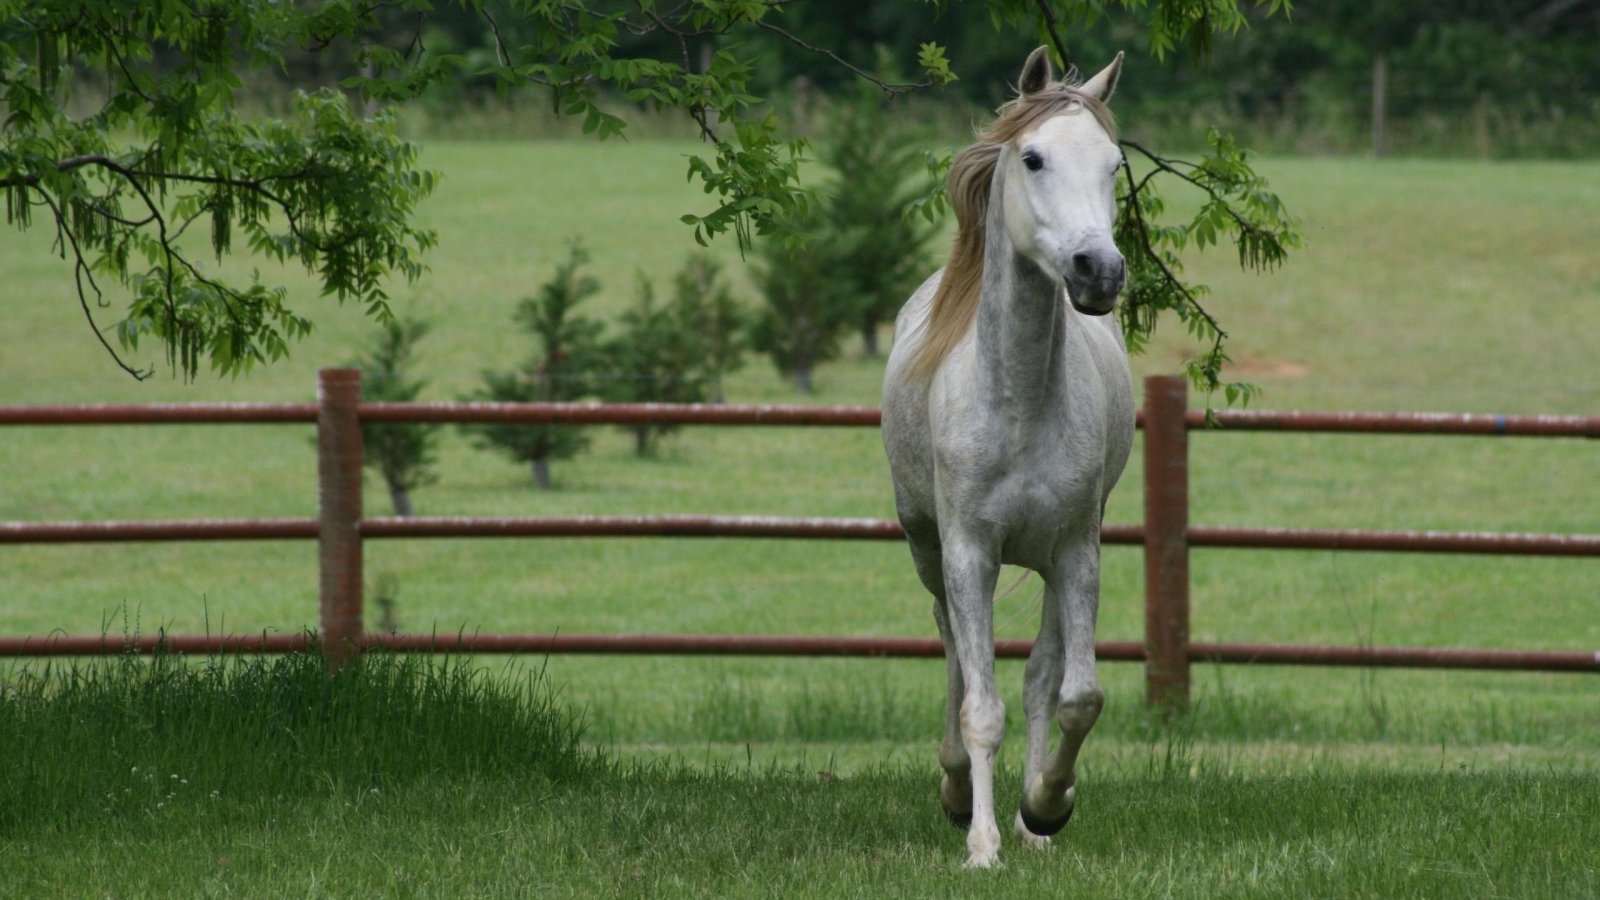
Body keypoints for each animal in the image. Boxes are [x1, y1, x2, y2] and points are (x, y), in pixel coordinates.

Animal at [876, 47, 1139, 864]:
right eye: (1033, 158)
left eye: (1114, 164)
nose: (1098, 271)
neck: (1018, 402)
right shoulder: (969, 553)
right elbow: (980, 704)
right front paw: (982, 844)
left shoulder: (1077, 551)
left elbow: (1073, 694)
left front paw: (1046, 808)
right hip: (929, 552)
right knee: (955, 658)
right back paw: (959, 793)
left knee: (1039, 678)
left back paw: (1029, 824)